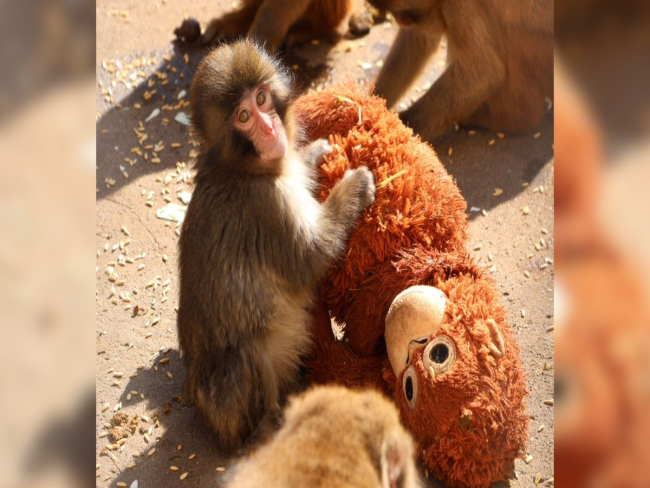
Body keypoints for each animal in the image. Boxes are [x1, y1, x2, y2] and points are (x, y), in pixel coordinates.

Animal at [177, 40, 376, 452]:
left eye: (262, 98)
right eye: (243, 116)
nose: (269, 128)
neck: (244, 168)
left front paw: (314, 153)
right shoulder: (266, 206)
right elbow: (310, 259)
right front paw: (354, 186)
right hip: (228, 403)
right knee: (246, 353)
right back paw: (269, 426)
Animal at [369, 0, 554, 141]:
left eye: (401, 12)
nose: (400, 20)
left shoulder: (459, 4)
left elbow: (483, 72)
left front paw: (399, 131)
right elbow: (419, 38)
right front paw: (373, 100)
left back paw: (512, 120)